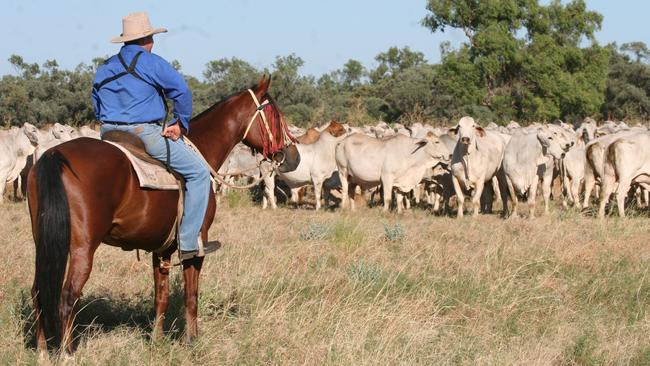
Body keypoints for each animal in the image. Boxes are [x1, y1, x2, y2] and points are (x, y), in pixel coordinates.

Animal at [26, 76, 298, 352]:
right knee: (67, 296)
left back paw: (42, 350)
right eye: (276, 116)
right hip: (82, 248)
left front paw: (157, 340)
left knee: (40, 292)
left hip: (45, 244)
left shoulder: (161, 248)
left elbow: (161, 296)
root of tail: (55, 154)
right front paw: (192, 340)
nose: (292, 157)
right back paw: (67, 352)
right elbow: (191, 295)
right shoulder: (194, 246)